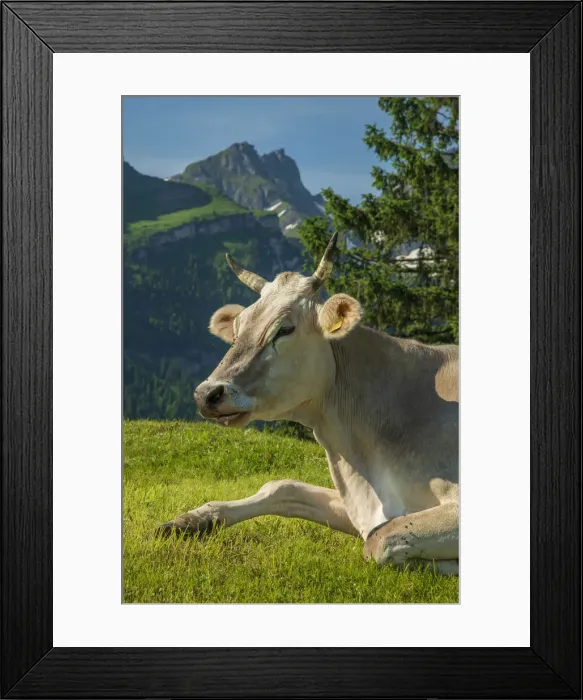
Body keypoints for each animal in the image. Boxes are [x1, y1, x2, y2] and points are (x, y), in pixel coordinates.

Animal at [158, 234, 459, 575]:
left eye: (284, 329)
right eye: (236, 328)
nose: (206, 394)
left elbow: (379, 540)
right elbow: (282, 486)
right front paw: (192, 519)